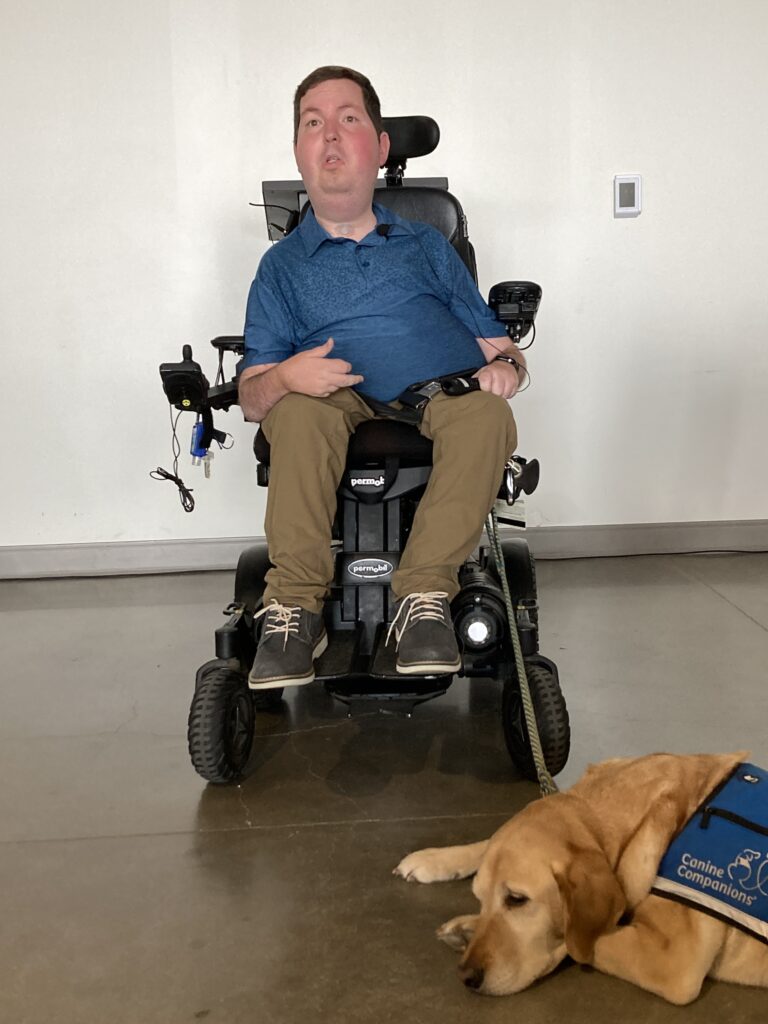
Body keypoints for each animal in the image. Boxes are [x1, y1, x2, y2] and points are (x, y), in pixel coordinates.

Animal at [397, 749, 768, 1003]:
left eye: (517, 899)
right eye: (479, 898)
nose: (467, 976)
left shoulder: (672, 961)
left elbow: (585, 941)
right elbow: (488, 840)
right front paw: (436, 861)